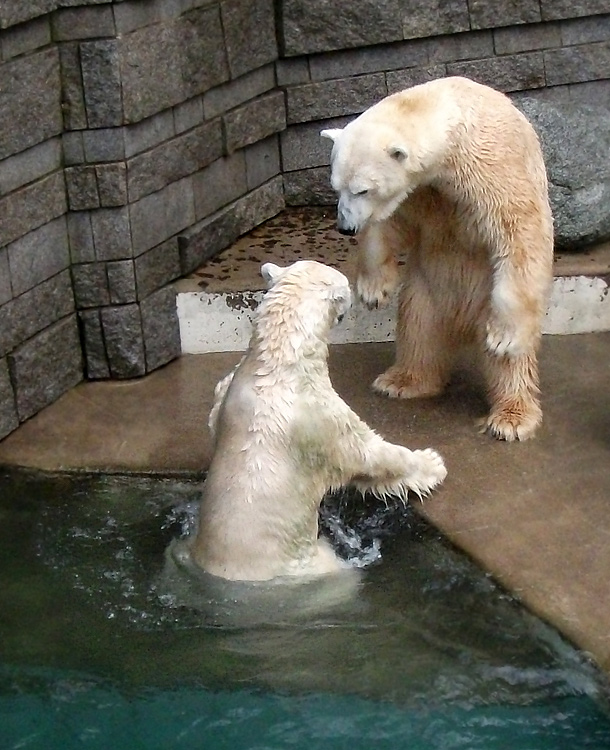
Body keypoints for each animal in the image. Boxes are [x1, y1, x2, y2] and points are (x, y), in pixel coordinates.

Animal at [320, 76, 552, 440]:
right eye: (336, 186)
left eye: (362, 189)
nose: (344, 227)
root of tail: (463, 323)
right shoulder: (422, 192)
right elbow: (389, 226)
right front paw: (373, 290)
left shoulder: (495, 167)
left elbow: (518, 232)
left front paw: (503, 339)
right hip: (425, 290)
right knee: (418, 327)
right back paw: (402, 380)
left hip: (488, 300)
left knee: (511, 360)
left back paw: (511, 417)